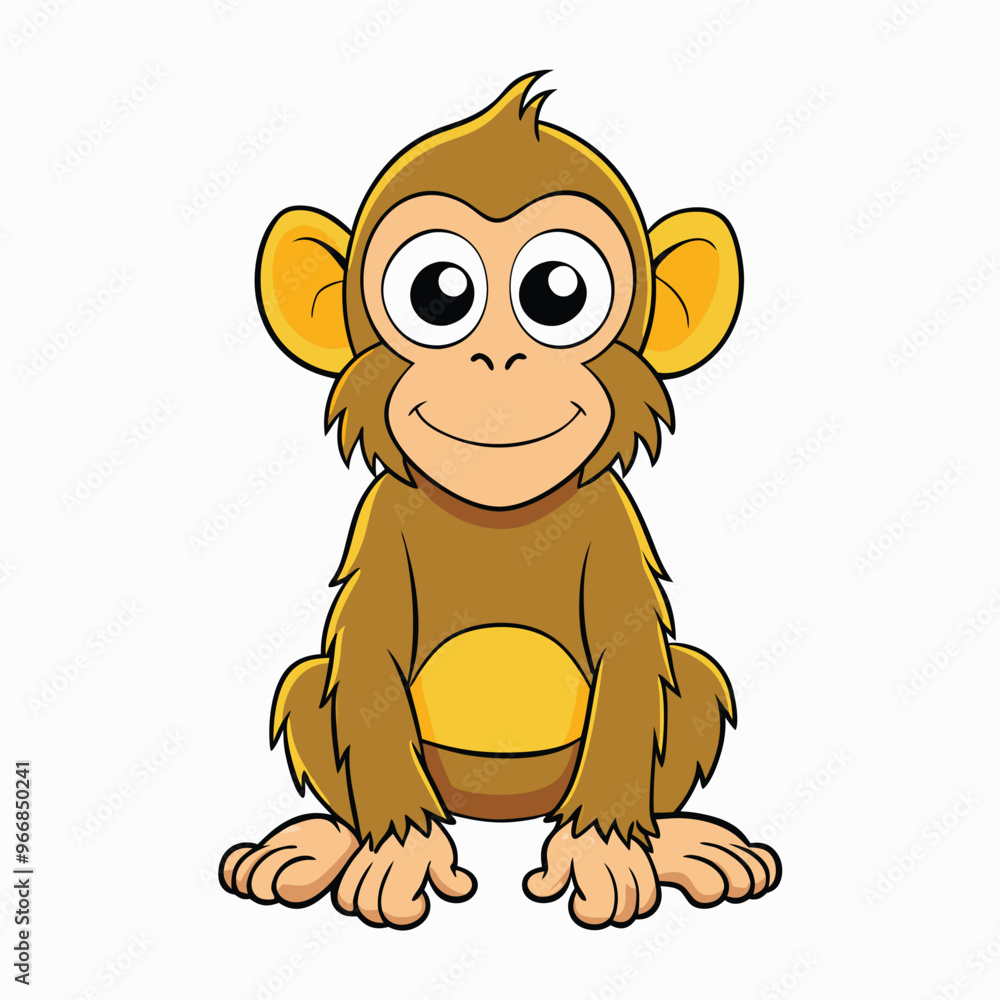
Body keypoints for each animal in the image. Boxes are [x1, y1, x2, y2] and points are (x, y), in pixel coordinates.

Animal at [219, 72, 781, 930]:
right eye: (438, 293)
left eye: (557, 293)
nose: (498, 358)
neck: (498, 514)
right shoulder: (385, 520)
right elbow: (369, 660)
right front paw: (400, 851)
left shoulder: (609, 521)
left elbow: (631, 659)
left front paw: (601, 851)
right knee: (313, 683)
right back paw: (323, 845)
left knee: (689, 676)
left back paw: (679, 844)